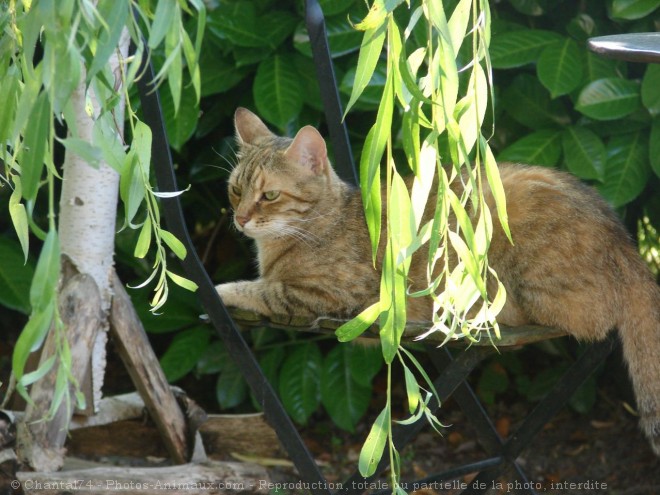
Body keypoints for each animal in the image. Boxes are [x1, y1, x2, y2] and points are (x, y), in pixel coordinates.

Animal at [218, 107, 660, 458]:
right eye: (236, 190)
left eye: (269, 195)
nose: (240, 218)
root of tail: (626, 246)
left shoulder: (332, 296)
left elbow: (260, 289)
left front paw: (221, 291)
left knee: (581, 319)